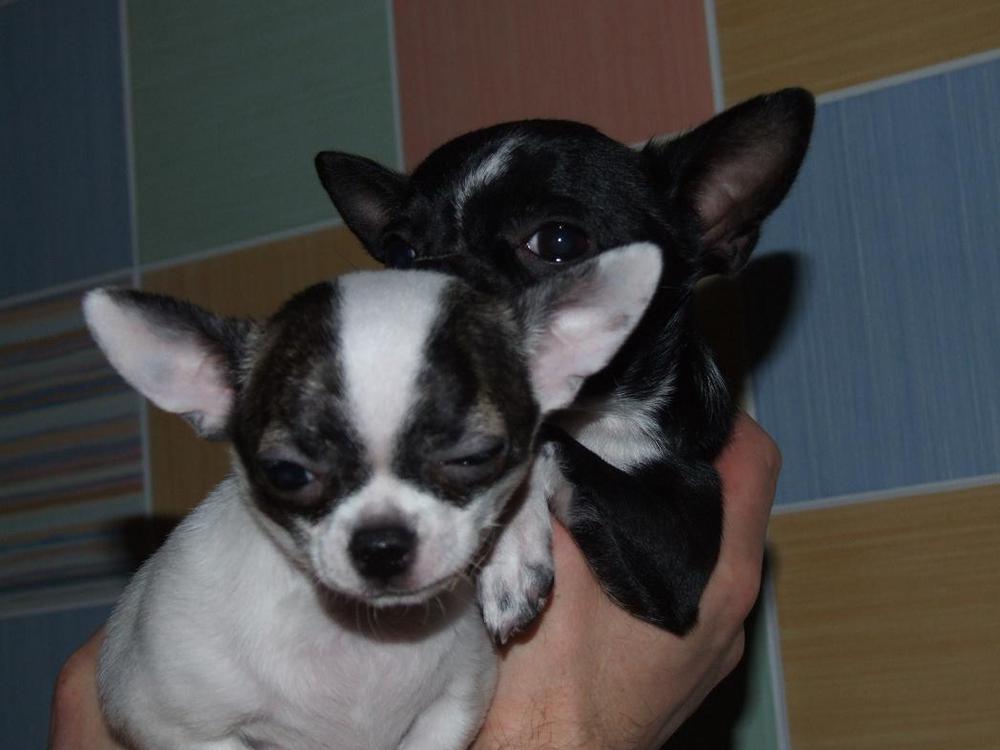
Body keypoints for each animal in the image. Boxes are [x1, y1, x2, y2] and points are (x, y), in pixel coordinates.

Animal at [316, 88, 815, 636]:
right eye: (399, 253)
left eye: (558, 242)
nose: (424, 278)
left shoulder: (681, 549)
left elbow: (550, 443)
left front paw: (510, 555)